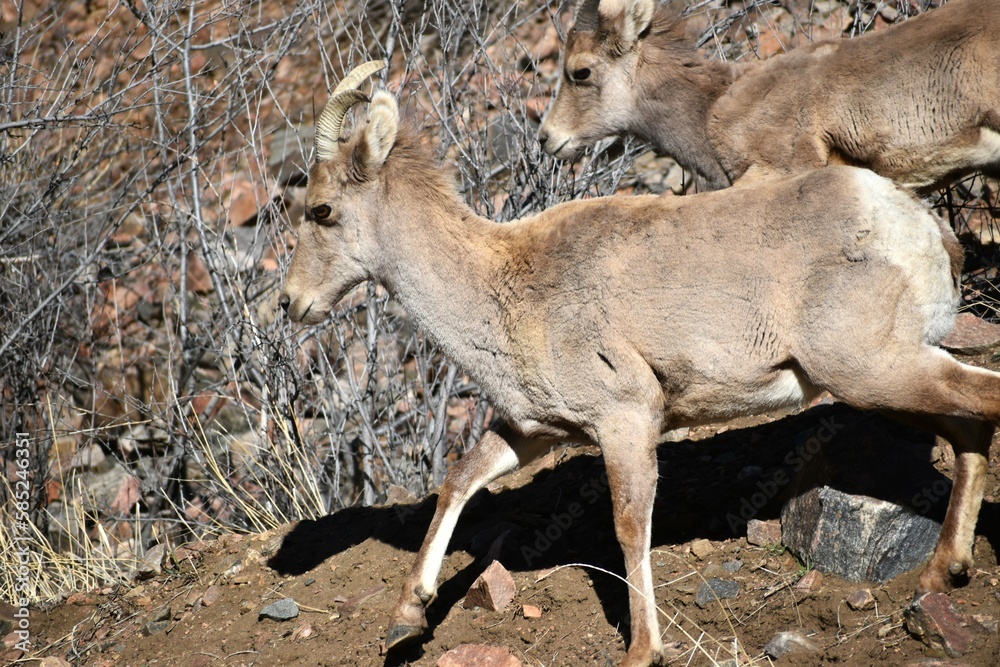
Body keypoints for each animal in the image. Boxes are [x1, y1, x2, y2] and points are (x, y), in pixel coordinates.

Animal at [280, 62, 999, 667]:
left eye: (322, 210)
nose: (291, 303)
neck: (502, 285)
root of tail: (917, 227)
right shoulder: (534, 431)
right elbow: (459, 481)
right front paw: (406, 619)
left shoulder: (624, 419)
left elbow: (629, 526)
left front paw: (642, 649)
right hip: (890, 376)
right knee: (968, 430)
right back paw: (944, 571)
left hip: (876, 370)